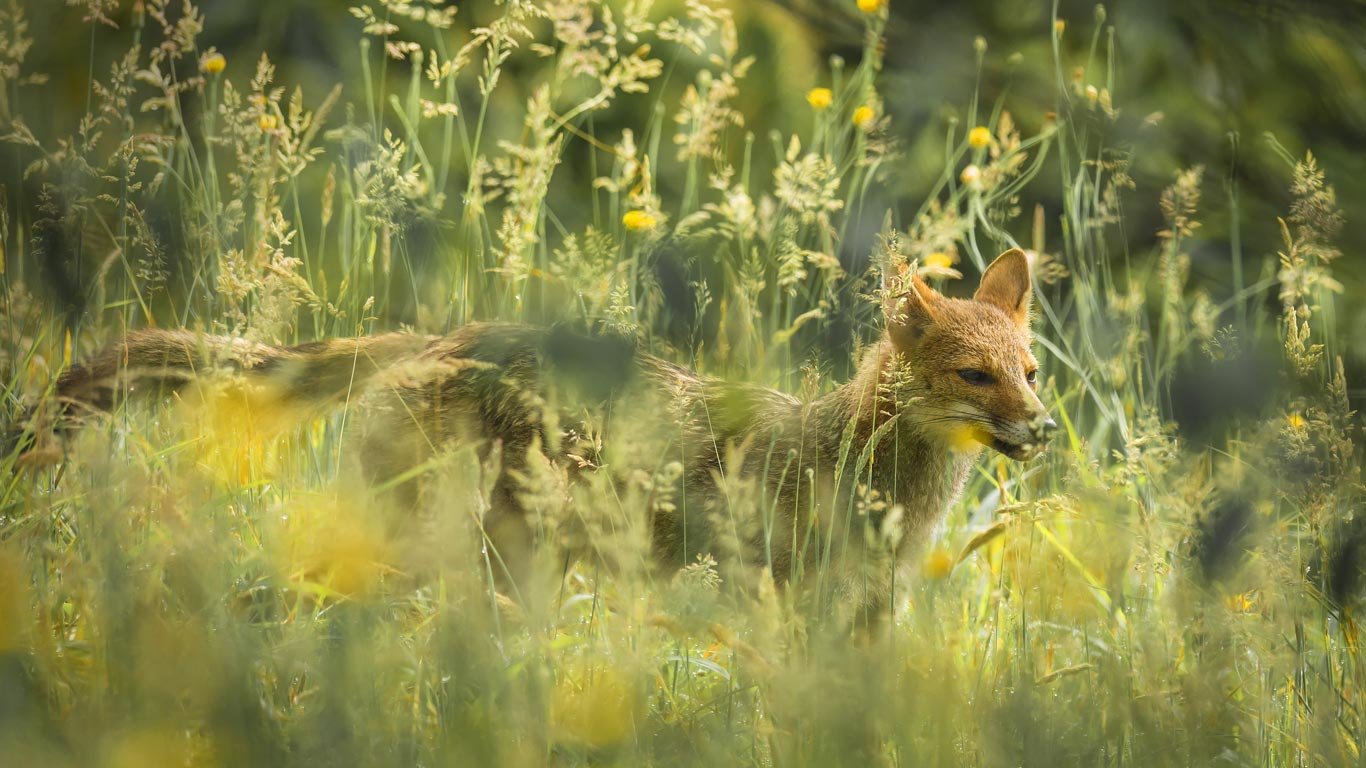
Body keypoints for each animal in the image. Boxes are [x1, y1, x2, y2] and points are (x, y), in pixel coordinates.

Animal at [40, 248, 1054, 621]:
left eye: (1031, 371)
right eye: (976, 377)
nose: (1043, 428)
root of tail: (442, 334)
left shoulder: (873, 613)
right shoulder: (768, 597)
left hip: (516, 570)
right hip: (433, 550)